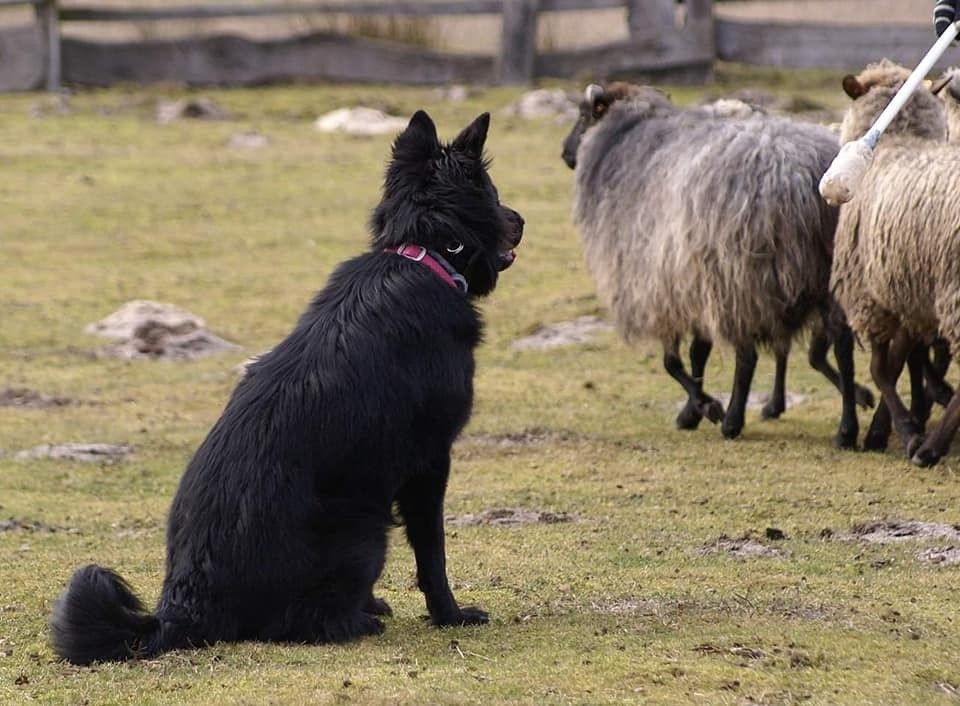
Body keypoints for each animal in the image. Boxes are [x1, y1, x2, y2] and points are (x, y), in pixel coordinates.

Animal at [51, 110, 524, 664]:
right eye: (493, 192)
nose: (522, 220)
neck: (421, 255)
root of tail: (183, 607)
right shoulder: (429, 462)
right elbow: (433, 554)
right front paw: (450, 615)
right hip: (366, 527)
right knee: (302, 622)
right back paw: (358, 622)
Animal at [561, 82, 870, 446]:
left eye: (584, 115)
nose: (565, 154)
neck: (627, 134)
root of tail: (802, 176)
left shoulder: (660, 286)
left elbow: (672, 362)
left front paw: (707, 407)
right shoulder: (692, 283)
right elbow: (698, 353)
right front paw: (693, 411)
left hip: (742, 279)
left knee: (748, 356)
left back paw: (733, 421)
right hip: (828, 274)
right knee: (843, 349)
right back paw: (847, 428)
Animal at [830, 59, 960, 466]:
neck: (896, 139)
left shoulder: (868, 294)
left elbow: (879, 369)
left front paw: (905, 431)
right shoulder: (907, 295)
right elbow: (898, 362)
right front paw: (884, 429)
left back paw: (931, 449)